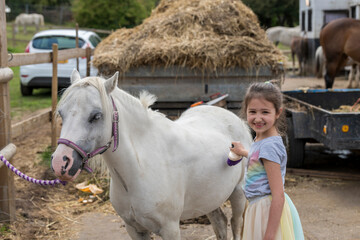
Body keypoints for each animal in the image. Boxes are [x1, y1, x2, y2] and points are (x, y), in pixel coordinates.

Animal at [51, 70, 253, 239]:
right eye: (61, 113)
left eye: (96, 116)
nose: (61, 163)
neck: (139, 168)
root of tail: (238, 121)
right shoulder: (134, 228)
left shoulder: (170, 229)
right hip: (210, 198)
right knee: (220, 223)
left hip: (238, 195)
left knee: (236, 224)